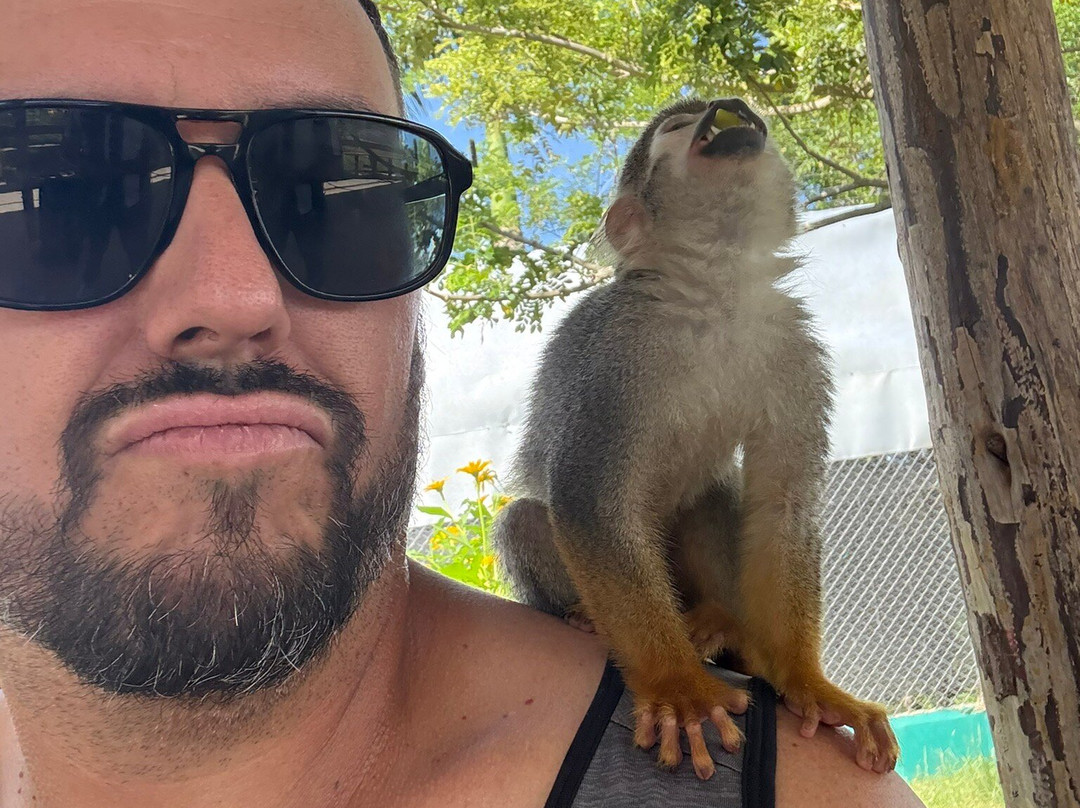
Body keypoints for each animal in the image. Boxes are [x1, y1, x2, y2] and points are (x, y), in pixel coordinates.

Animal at [492, 97, 900, 781]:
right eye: (679, 129)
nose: (728, 108)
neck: (716, 296)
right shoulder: (611, 347)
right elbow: (586, 500)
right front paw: (677, 687)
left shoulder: (793, 345)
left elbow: (781, 506)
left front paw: (808, 682)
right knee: (526, 517)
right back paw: (588, 616)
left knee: (710, 492)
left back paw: (721, 622)